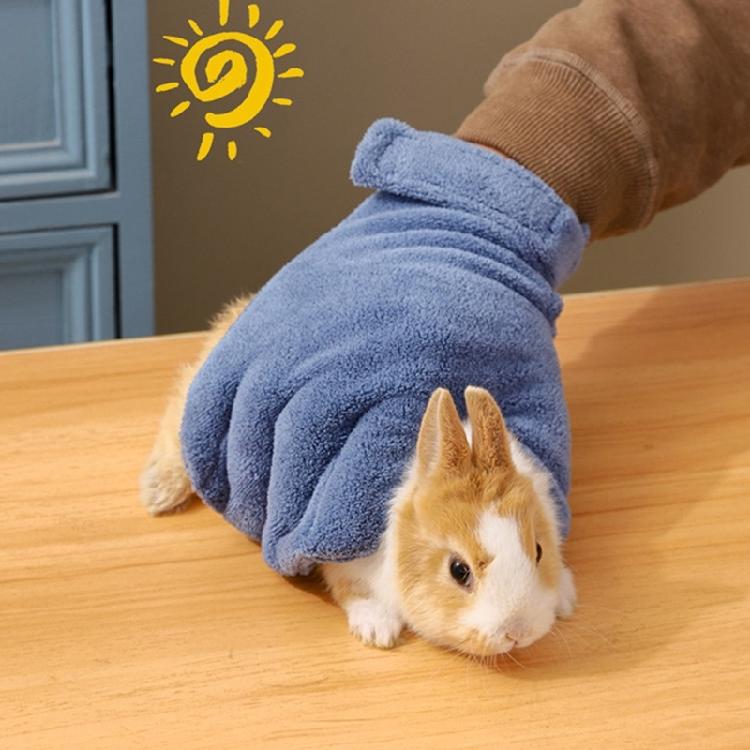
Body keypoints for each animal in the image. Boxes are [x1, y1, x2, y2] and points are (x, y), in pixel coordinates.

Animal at [141, 298, 576, 656]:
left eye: (539, 550)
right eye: (459, 570)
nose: (518, 632)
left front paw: (566, 598)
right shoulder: (339, 550)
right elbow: (350, 589)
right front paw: (378, 630)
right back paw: (158, 492)